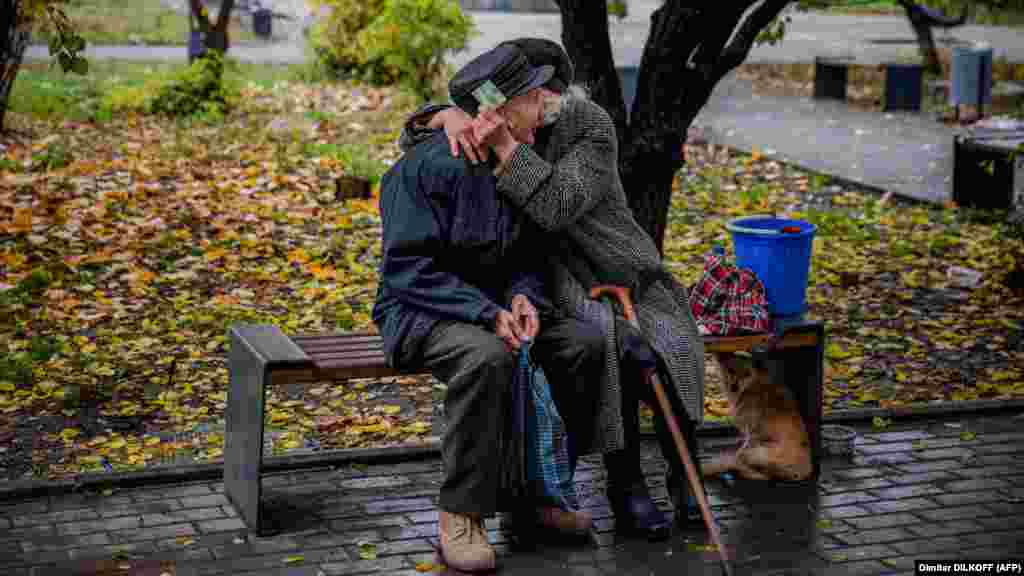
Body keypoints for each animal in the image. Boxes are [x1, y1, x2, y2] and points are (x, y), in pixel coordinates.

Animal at [700, 350, 811, 479]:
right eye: (730, 370)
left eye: (747, 374)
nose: (734, 387)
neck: (750, 387)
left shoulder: (751, 433)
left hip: (753, 453)